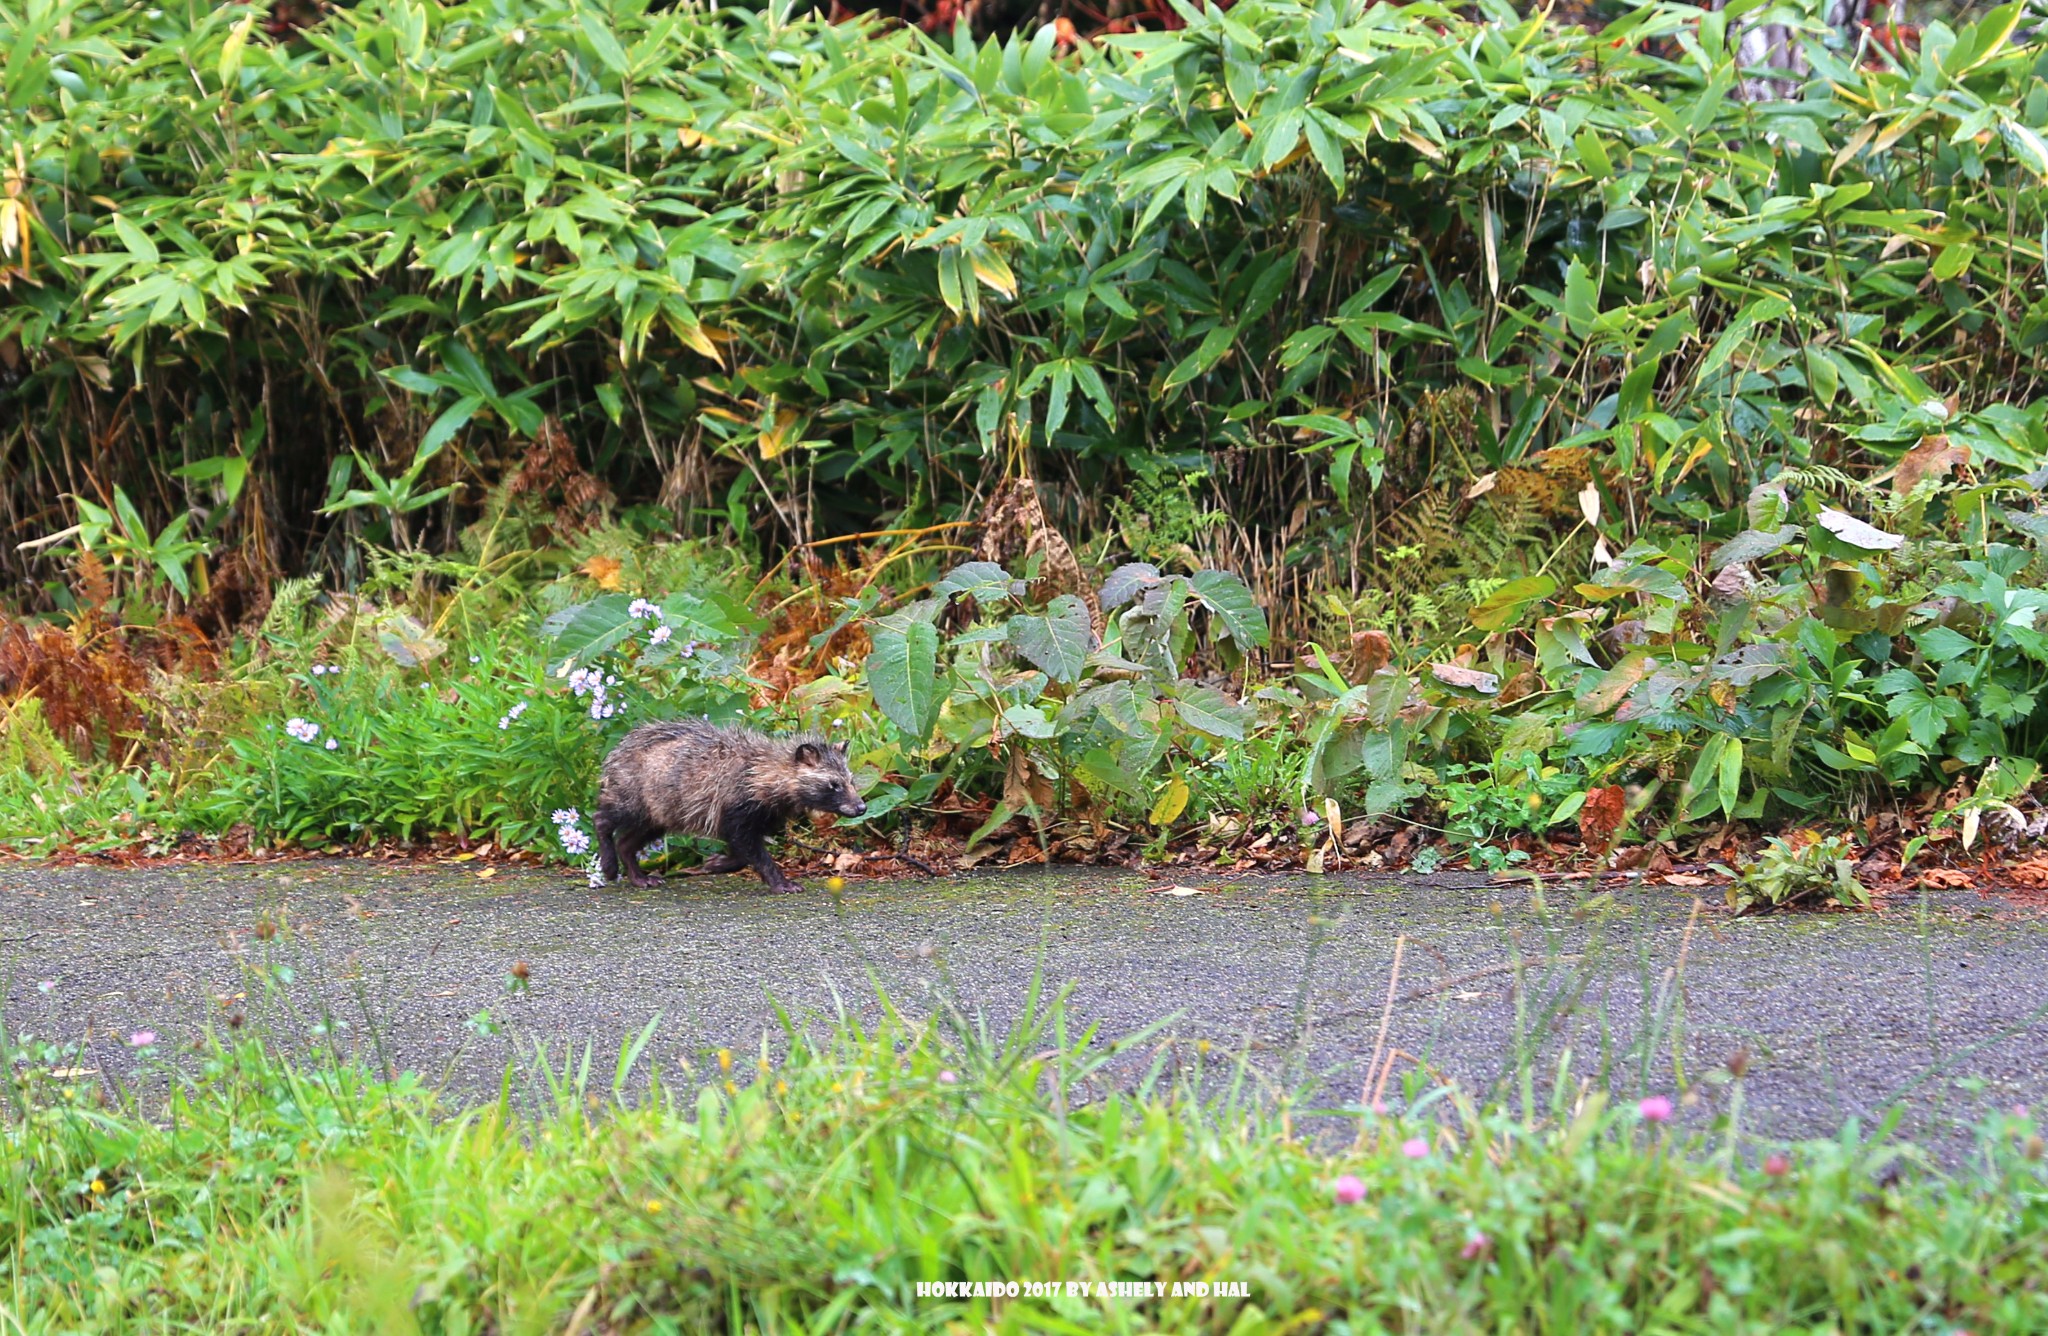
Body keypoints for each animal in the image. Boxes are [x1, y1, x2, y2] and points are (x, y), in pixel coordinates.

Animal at [593, 713, 864, 893]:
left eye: (851, 780)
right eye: (834, 784)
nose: (861, 807)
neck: (762, 770)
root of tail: (614, 755)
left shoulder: (759, 814)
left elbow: (741, 851)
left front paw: (719, 862)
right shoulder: (735, 806)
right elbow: (747, 847)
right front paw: (780, 881)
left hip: (660, 810)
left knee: (628, 841)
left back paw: (638, 875)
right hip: (634, 795)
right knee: (604, 818)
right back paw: (609, 860)